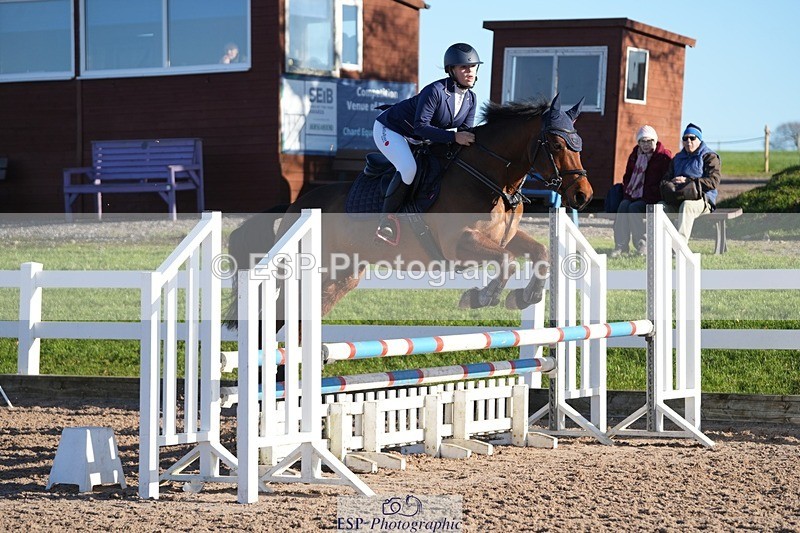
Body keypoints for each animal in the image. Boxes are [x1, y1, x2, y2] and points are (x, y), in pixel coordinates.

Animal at [224, 93, 592, 327]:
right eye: (556, 144)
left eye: (579, 143)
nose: (583, 195)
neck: (488, 177)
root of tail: (294, 205)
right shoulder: (458, 245)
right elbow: (507, 262)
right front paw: (479, 297)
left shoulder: (501, 238)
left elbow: (539, 252)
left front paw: (524, 297)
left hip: (341, 276)